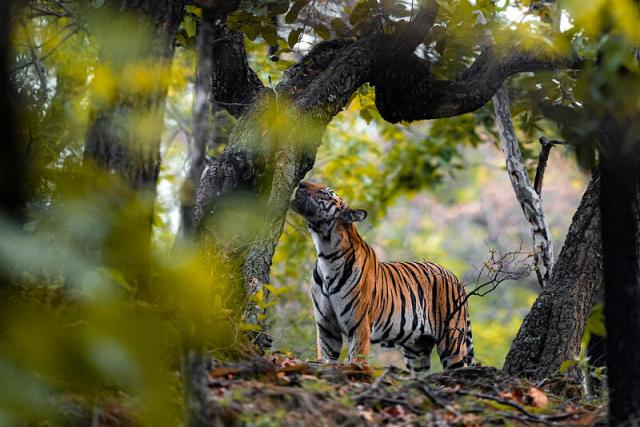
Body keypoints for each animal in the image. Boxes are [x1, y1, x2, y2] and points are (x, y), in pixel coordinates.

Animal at [290, 181, 475, 372]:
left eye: (325, 193)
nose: (301, 183)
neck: (326, 252)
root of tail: (454, 277)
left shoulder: (360, 325)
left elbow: (357, 359)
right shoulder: (326, 327)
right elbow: (326, 358)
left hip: (452, 339)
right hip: (417, 349)